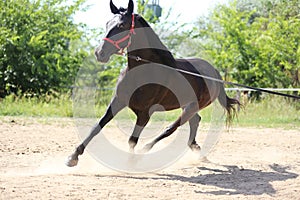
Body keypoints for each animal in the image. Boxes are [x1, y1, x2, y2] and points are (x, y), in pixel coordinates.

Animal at [65, 0, 239, 167]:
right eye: (107, 23)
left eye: (121, 25)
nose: (99, 53)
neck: (142, 72)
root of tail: (214, 72)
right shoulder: (118, 102)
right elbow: (97, 127)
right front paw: (73, 157)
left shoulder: (144, 113)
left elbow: (132, 139)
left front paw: (130, 162)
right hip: (188, 105)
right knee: (195, 121)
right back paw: (195, 148)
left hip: (192, 106)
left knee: (171, 128)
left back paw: (146, 150)